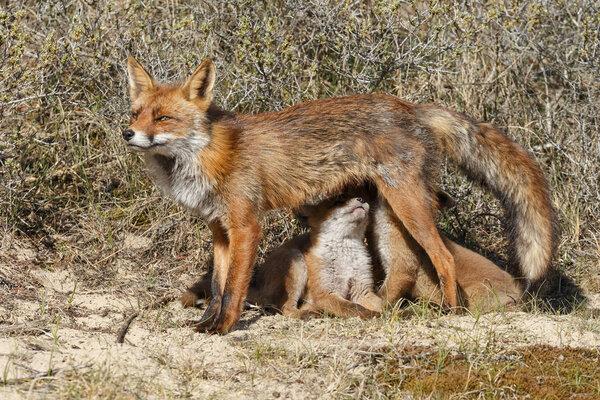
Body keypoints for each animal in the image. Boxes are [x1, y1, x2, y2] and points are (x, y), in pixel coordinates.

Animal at [123, 55, 556, 332]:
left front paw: (224, 328)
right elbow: (216, 287)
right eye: (135, 113)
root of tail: (412, 106)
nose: (127, 133)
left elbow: (234, 289)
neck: (205, 156)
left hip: (407, 203)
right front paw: (205, 324)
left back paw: (451, 312)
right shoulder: (219, 229)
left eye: (163, 118)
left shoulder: (246, 226)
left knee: (444, 257)